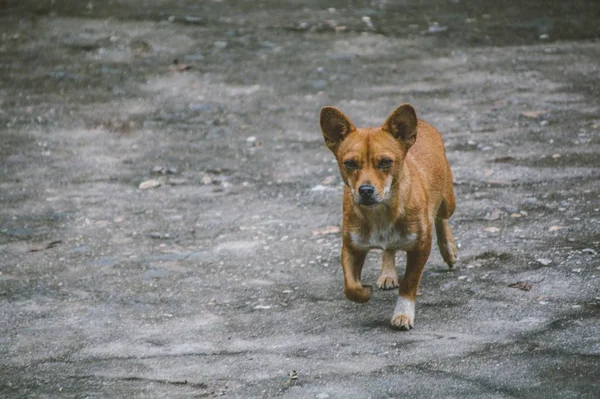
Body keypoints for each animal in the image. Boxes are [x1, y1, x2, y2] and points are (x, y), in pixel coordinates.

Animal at [322, 103, 458, 332]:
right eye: (349, 163)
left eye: (385, 162)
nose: (365, 190)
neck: (381, 213)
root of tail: (422, 123)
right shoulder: (352, 247)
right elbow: (351, 286)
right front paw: (364, 291)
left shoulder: (421, 247)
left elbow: (409, 282)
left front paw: (403, 315)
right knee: (389, 249)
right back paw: (388, 274)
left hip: (448, 203)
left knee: (441, 218)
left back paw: (448, 249)